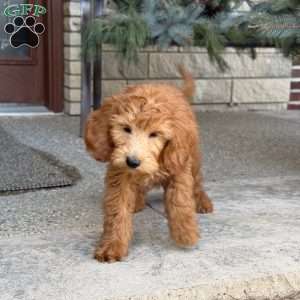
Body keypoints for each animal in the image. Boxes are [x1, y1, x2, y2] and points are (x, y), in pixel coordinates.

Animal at [84, 66, 213, 262]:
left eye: (154, 134)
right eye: (126, 129)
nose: (132, 161)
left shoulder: (178, 167)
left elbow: (180, 201)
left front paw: (185, 233)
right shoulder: (119, 175)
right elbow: (117, 211)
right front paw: (112, 246)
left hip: (193, 158)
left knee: (197, 181)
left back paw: (202, 202)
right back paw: (137, 201)